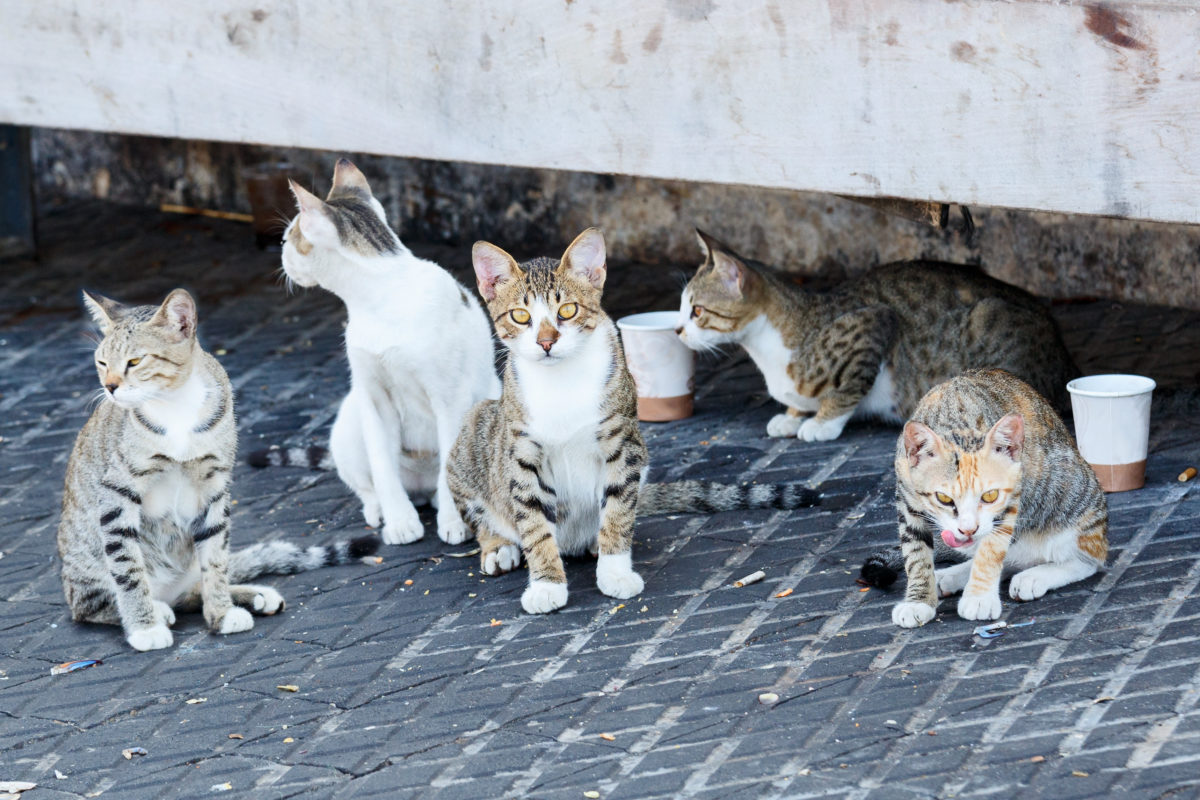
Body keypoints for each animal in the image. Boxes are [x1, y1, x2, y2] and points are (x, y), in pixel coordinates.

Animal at [57, 287, 379, 652]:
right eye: (102, 363)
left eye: (135, 362)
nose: (109, 387)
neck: (175, 406)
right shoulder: (117, 493)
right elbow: (127, 568)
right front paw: (144, 626)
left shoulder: (213, 487)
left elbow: (215, 558)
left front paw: (221, 612)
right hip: (86, 565)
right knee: (91, 604)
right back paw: (157, 609)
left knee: (193, 589)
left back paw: (252, 596)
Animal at [270, 160, 499, 551]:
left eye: (288, 239)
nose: (281, 255)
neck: (380, 295)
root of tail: (420, 487)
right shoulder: (373, 397)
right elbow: (381, 465)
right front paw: (399, 522)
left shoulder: (449, 396)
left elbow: (449, 462)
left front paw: (452, 522)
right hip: (349, 421)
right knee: (367, 484)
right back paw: (380, 508)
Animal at [448, 227, 825, 618]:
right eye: (521, 316)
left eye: (567, 310)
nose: (546, 341)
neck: (562, 381)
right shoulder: (522, 453)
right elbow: (534, 523)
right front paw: (546, 584)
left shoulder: (623, 442)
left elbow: (617, 508)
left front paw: (615, 570)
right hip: (473, 431)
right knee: (484, 512)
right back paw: (498, 546)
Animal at [676, 230, 1080, 443]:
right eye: (681, 308)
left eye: (696, 311)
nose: (678, 330)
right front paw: (791, 415)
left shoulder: (872, 325)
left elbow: (847, 389)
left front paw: (821, 423)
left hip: (987, 323)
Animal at [864, 367, 1104, 623]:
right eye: (944, 498)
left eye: (990, 496)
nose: (968, 528)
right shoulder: (906, 498)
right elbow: (916, 552)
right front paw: (918, 601)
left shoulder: (1011, 498)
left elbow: (991, 549)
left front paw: (979, 598)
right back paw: (953, 575)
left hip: (1074, 501)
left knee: (1088, 559)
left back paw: (1035, 576)